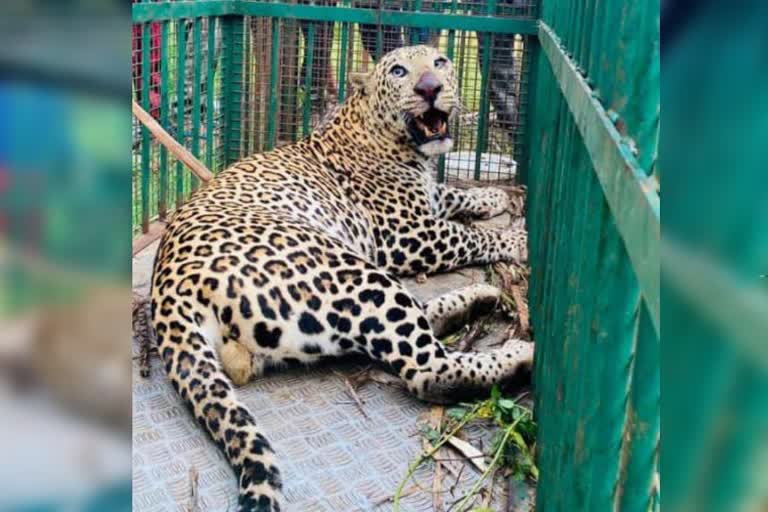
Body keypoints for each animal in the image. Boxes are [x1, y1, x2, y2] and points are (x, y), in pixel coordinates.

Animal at [150, 46, 536, 510]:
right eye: (400, 71)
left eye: (440, 62)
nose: (429, 87)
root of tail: (169, 287)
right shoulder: (404, 235)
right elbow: (468, 235)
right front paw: (518, 237)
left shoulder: (426, 204)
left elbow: (452, 194)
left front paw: (493, 196)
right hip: (350, 270)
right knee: (427, 368)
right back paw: (521, 352)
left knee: (400, 329)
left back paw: (480, 296)